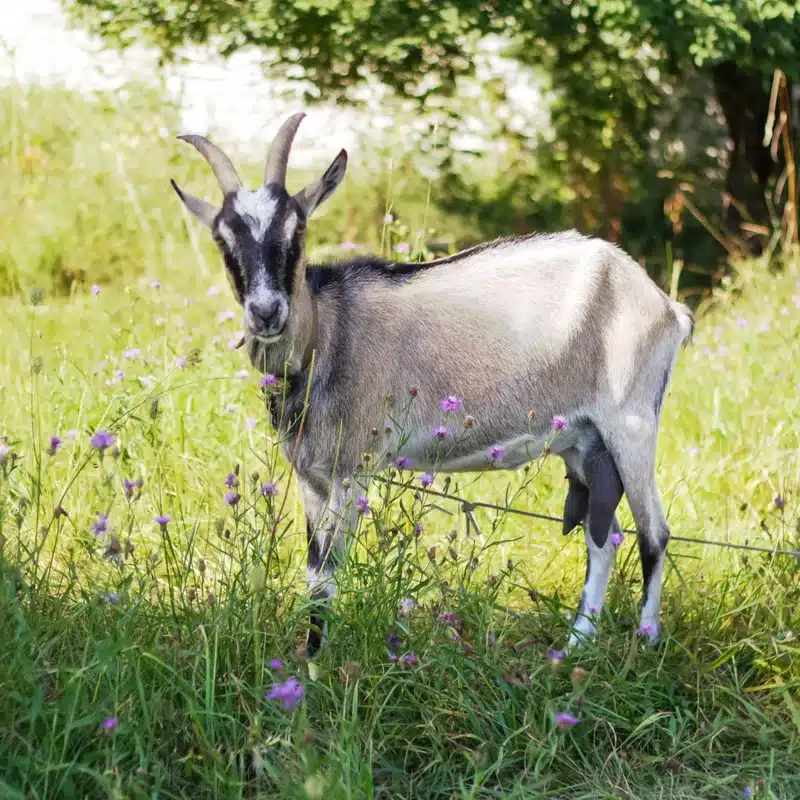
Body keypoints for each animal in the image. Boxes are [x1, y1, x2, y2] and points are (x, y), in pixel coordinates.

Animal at [171, 113, 693, 654]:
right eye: (223, 239)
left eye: (297, 229)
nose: (267, 312)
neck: (330, 335)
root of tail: (665, 306)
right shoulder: (311, 476)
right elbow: (314, 572)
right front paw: (305, 659)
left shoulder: (351, 470)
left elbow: (327, 578)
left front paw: (315, 666)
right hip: (584, 441)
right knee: (602, 535)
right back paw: (574, 646)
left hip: (632, 423)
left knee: (654, 533)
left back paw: (647, 640)